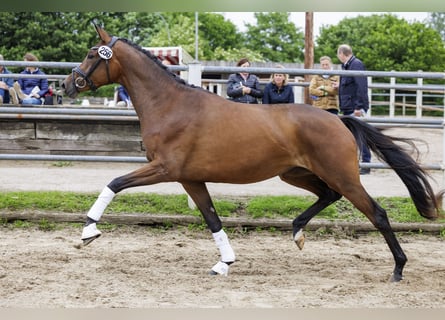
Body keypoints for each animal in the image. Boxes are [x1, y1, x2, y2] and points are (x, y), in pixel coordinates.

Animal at [61, 23, 440, 282]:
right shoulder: (190, 178)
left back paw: (398, 269)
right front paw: (224, 263)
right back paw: (297, 232)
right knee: (328, 196)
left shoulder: (165, 168)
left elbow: (115, 182)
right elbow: (212, 219)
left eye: (93, 54)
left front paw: (88, 232)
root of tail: (339, 119)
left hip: (341, 175)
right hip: (296, 174)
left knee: (377, 213)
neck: (171, 106)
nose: (67, 84)